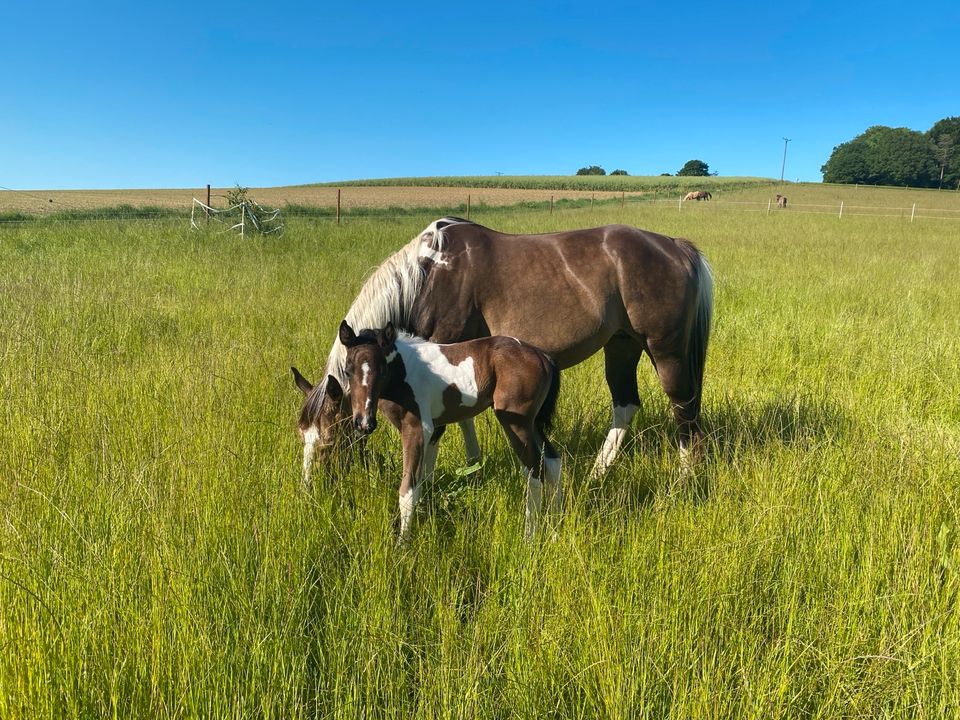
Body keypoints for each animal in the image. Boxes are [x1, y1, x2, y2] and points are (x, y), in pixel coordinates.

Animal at [292, 322, 564, 540]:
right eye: (348, 371)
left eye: (382, 370)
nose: (364, 423)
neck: (402, 374)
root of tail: (543, 357)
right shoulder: (430, 431)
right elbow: (423, 480)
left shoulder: (417, 429)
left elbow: (408, 489)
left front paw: (403, 546)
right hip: (533, 423)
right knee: (552, 462)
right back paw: (555, 527)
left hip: (516, 424)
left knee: (535, 472)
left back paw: (529, 537)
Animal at [298, 217, 712, 480]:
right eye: (304, 434)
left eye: (329, 439)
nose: (312, 491)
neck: (429, 276)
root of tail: (675, 246)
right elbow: (462, 414)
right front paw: (473, 463)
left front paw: (428, 479)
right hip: (621, 345)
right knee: (625, 404)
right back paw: (597, 473)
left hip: (666, 350)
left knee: (684, 408)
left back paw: (685, 478)